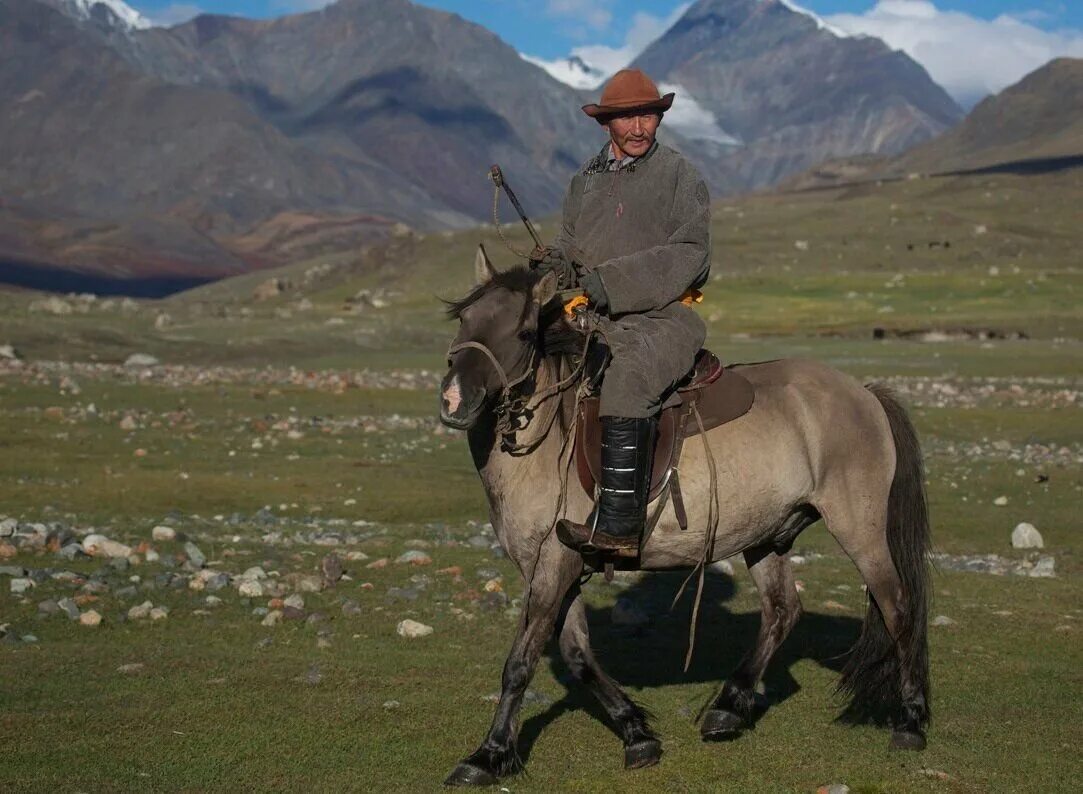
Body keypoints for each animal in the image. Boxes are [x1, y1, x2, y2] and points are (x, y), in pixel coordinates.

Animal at [435, 249, 927, 788]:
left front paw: (488, 754)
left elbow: (521, 662)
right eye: (464, 320)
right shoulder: (552, 567)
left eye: (523, 332)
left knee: (899, 608)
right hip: (767, 534)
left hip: (859, 530)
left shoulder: (555, 562)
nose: (455, 399)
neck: (547, 438)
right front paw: (636, 732)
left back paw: (910, 721)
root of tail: (865, 394)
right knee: (782, 610)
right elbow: (578, 655)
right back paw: (728, 708)